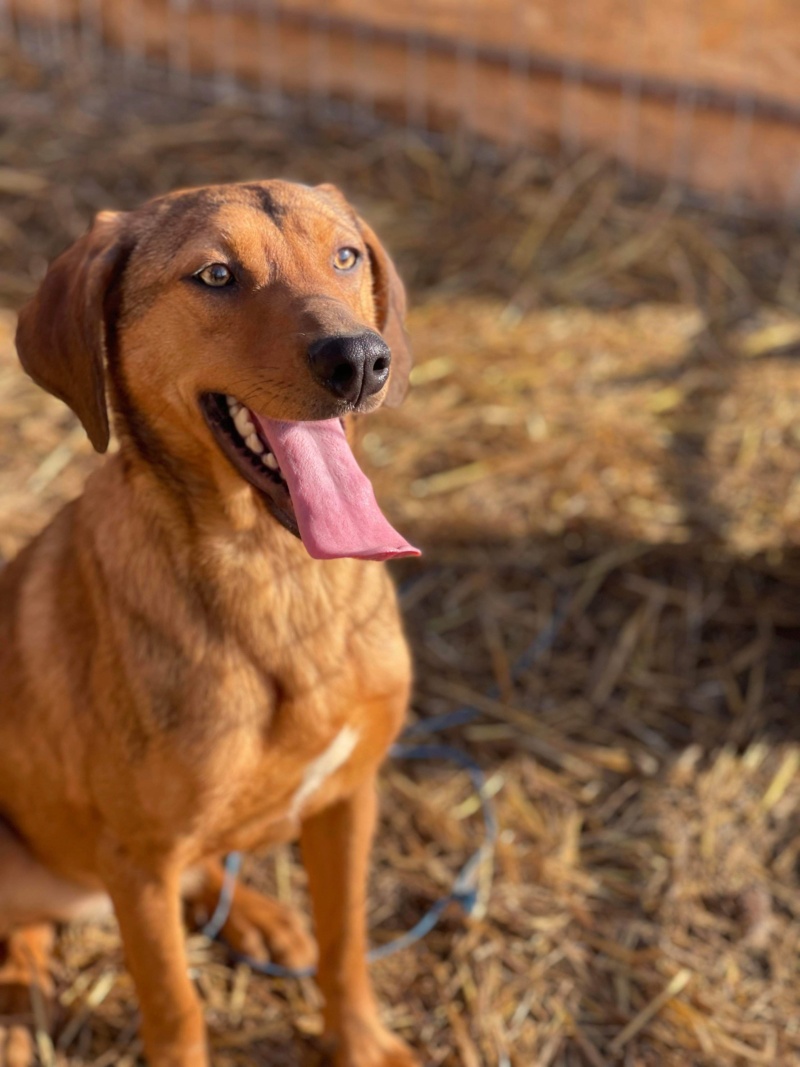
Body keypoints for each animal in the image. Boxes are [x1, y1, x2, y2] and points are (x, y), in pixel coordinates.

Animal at [0, 183, 422, 1067]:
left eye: (346, 256)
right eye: (217, 274)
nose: (360, 360)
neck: (278, 576)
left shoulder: (347, 797)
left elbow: (346, 944)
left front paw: (361, 1041)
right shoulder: (138, 863)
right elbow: (175, 1006)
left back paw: (260, 919)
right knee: (24, 930)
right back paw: (17, 1013)